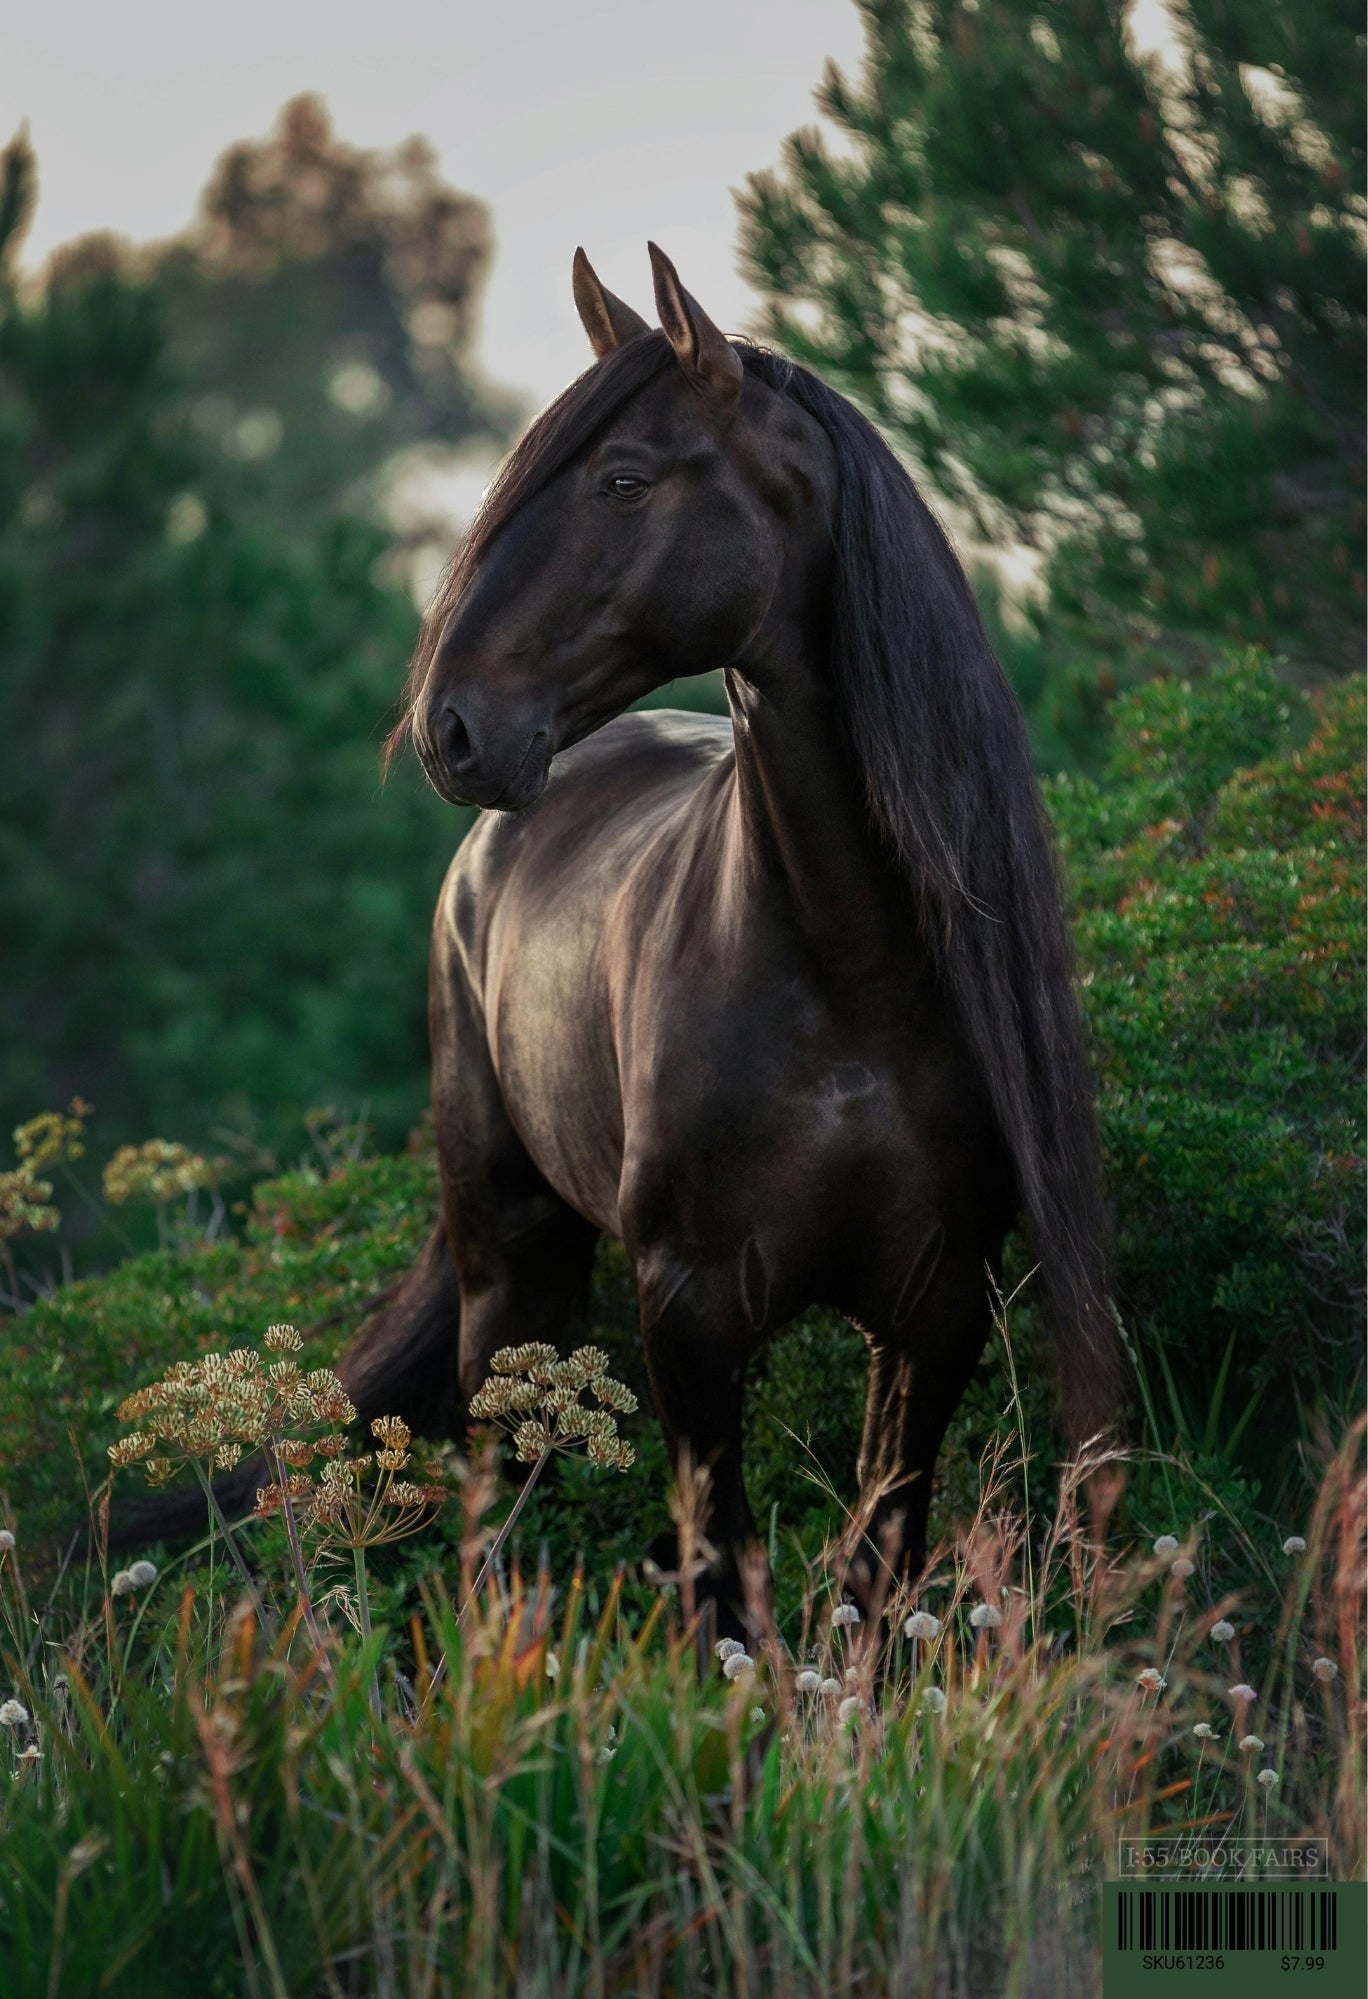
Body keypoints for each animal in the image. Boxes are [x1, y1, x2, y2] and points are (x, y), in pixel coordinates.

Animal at [338, 243, 1119, 1618]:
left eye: (625, 478)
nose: (453, 729)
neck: (848, 972)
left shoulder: (936, 1309)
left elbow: (875, 1564)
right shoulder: (690, 1311)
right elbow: (719, 1579)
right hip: (512, 1269)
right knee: (500, 1506)